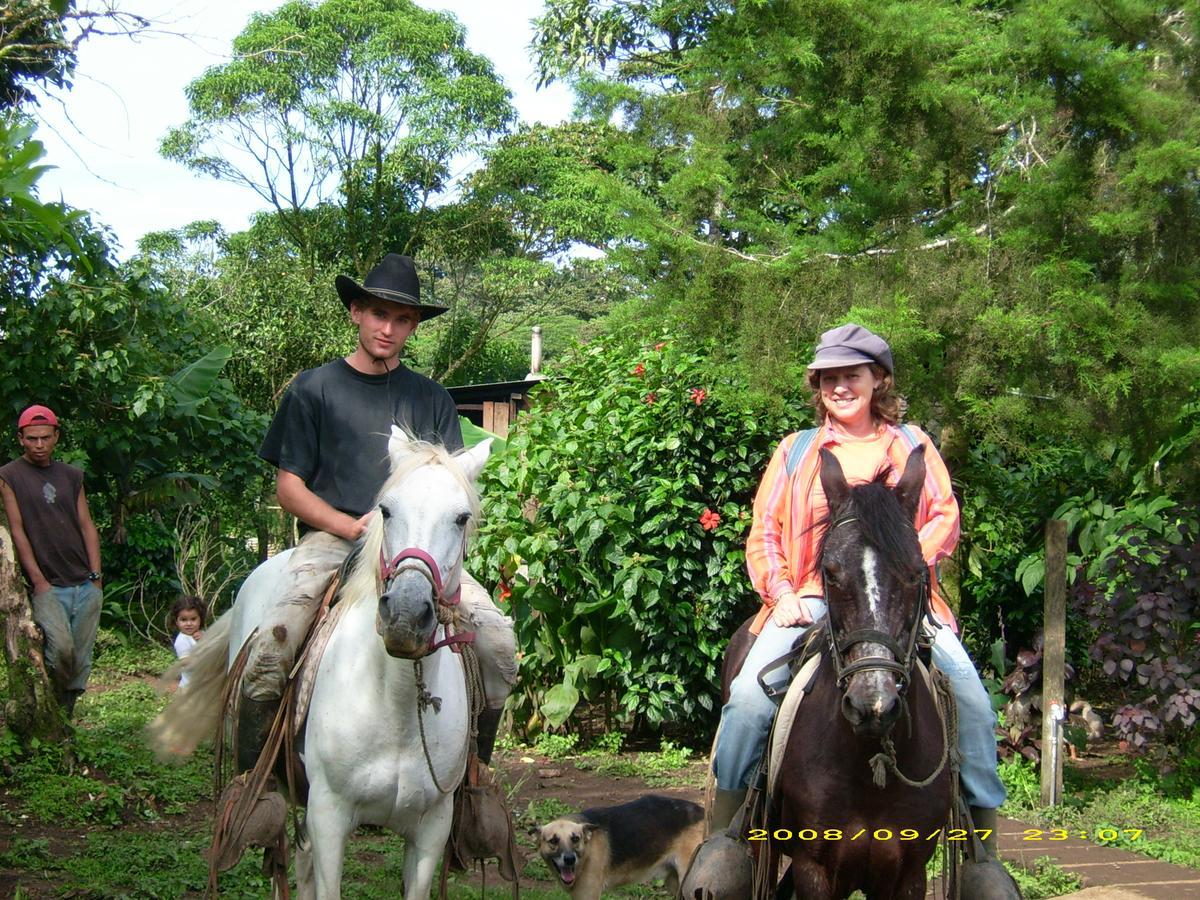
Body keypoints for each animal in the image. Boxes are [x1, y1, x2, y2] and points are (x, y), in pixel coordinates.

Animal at [153, 434, 492, 897]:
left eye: (461, 518)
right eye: (386, 510)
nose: (405, 616)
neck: (397, 704)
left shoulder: (431, 829)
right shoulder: (329, 816)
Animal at [535, 796, 700, 900]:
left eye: (575, 838)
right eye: (553, 841)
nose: (570, 860)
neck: (588, 850)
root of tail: (702, 811)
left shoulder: (588, 895)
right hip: (675, 883)